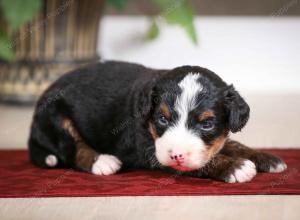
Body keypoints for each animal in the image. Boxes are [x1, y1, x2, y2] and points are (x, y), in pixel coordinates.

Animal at [27, 60, 286, 182]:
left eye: (207, 124)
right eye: (162, 119)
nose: (177, 155)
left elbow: (231, 144)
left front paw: (265, 158)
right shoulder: (150, 151)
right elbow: (204, 162)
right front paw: (235, 167)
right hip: (56, 117)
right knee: (73, 149)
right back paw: (102, 161)